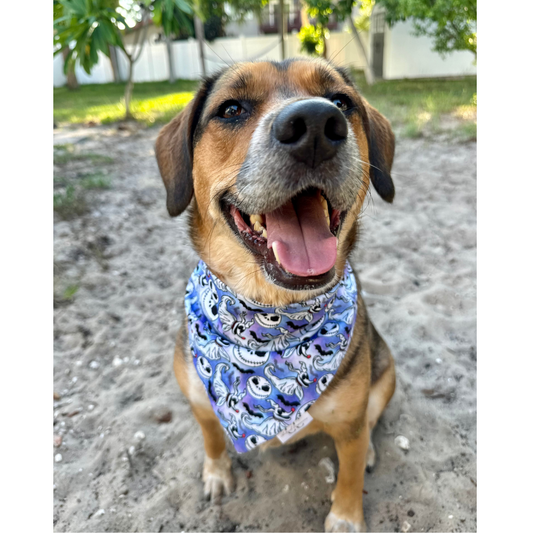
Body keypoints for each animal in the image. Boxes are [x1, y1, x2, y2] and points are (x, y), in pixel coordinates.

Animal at [154, 58, 394, 532]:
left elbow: (351, 469)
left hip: (386, 371)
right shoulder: (199, 401)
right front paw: (217, 472)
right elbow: (212, 437)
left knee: (372, 422)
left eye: (341, 101)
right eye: (231, 109)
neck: (269, 316)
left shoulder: (351, 423)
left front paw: (346, 515)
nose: (317, 124)